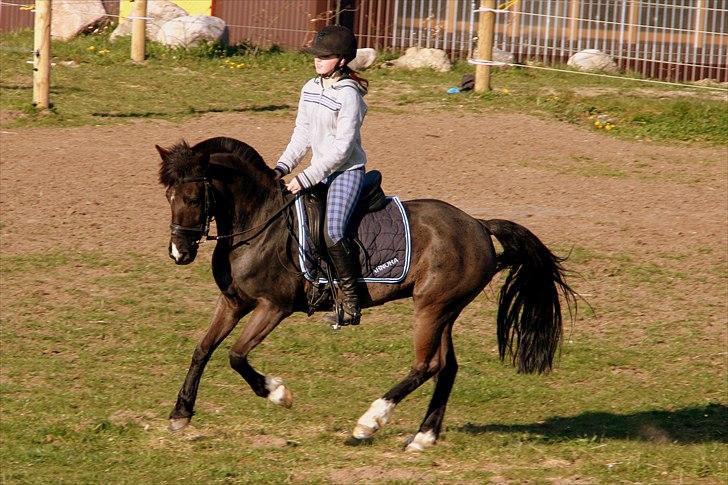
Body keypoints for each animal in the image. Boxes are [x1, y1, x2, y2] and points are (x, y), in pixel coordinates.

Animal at [156, 135, 576, 450]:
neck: (259, 223)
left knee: (427, 365)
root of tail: (477, 224)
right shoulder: (233, 302)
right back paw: (423, 437)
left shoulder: (273, 307)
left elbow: (236, 355)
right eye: (168, 197)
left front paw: (278, 393)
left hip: (432, 307)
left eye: (192, 198)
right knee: (447, 366)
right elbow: (203, 349)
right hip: (444, 310)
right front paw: (180, 414)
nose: (179, 253)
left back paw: (369, 422)